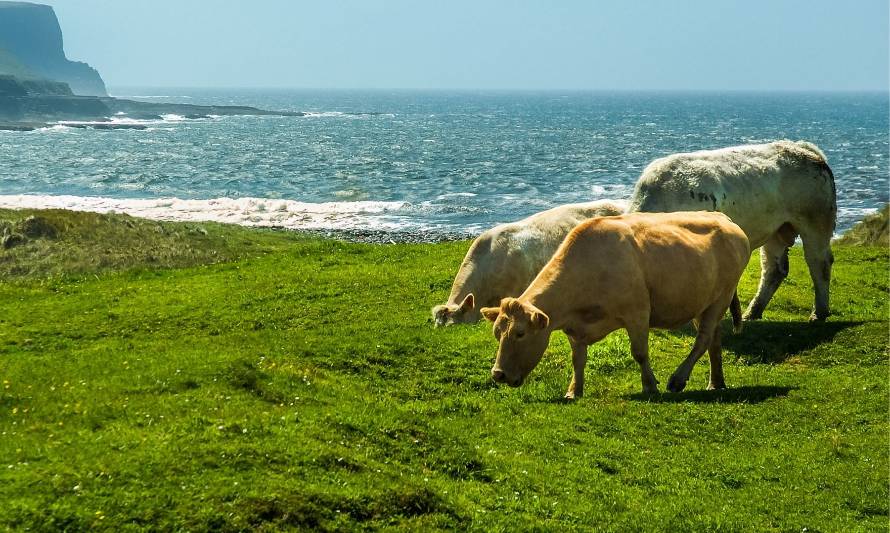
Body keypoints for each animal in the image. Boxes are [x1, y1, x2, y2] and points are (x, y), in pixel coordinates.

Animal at [624, 139, 832, 320]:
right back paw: (753, 312)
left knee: (820, 262)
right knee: (774, 269)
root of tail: (803, 148)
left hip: (816, 222)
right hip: (777, 229)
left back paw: (819, 313)